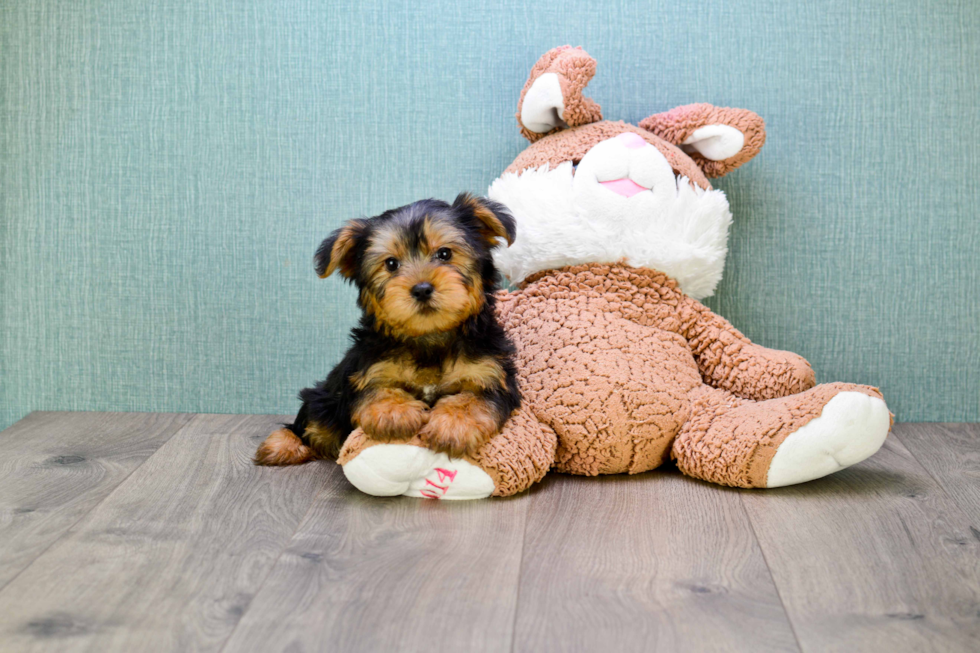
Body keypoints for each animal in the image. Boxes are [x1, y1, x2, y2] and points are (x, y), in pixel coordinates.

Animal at [256, 191, 524, 466]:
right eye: (392, 264)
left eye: (445, 254)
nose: (422, 289)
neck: (429, 337)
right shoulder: (368, 370)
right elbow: (376, 390)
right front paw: (395, 413)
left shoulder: (490, 374)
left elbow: (474, 399)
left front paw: (453, 426)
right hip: (323, 397)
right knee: (310, 420)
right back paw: (284, 445)